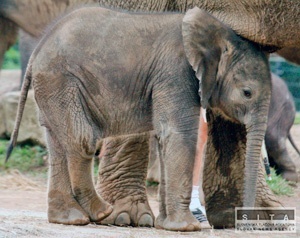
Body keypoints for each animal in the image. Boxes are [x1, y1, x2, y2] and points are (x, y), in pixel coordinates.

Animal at [7, 6, 274, 231]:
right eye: (247, 93)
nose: (246, 222)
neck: (218, 33)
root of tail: (38, 50)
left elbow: (165, 136)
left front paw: (167, 226)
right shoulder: (175, 72)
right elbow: (179, 134)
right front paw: (187, 228)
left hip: (52, 88)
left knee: (57, 143)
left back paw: (71, 219)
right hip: (62, 82)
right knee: (82, 140)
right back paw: (102, 212)